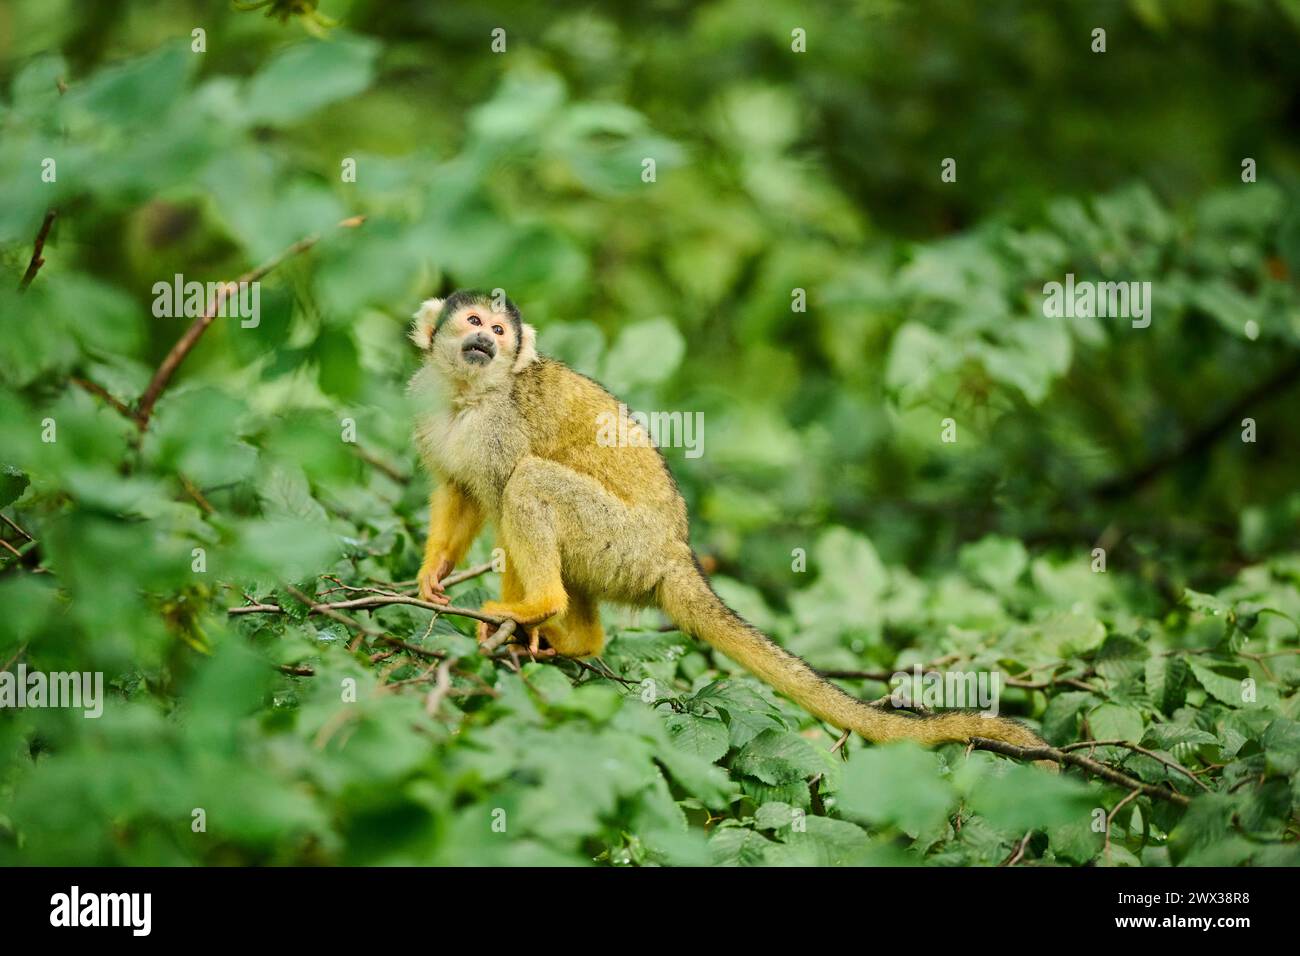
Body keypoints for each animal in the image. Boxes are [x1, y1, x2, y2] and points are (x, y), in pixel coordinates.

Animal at [410, 291, 1050, 764]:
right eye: (474, 322)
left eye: (500, 331)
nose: (485, 341)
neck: (472, 394)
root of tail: (678, 555)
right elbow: (459, 492)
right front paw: (433, 574)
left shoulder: (501, 426)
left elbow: (501, 496)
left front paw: (513, 615)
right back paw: (580, 638)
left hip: (624, 542)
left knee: (531, 482)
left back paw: (541, 606)